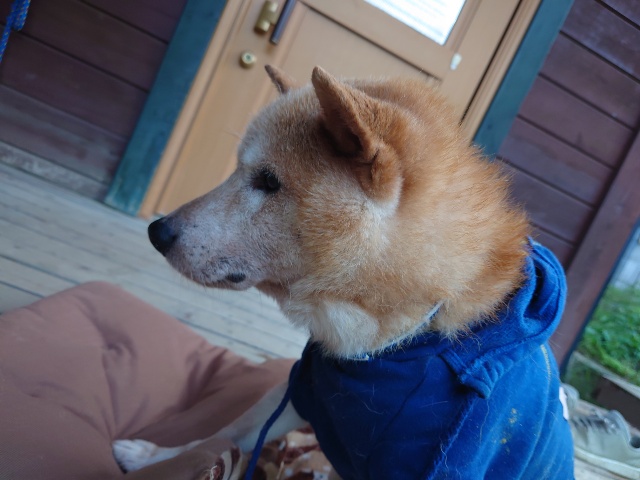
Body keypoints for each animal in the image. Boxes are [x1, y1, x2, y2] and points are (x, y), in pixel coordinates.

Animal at [113, 66, 574, 479]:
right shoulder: (303, 391)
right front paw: (156, 456)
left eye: (268, 181)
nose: (158, 231)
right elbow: (221, 433)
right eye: (239, 169)